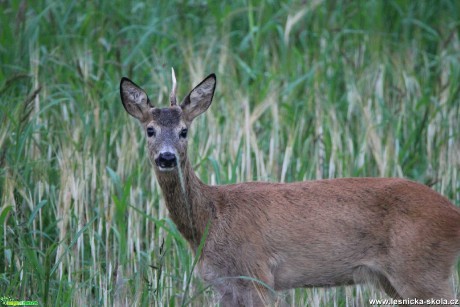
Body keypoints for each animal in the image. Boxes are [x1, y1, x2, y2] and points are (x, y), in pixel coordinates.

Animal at [119, 71, 460, 306]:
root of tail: (453, 213)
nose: (167, 157)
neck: (210, 219)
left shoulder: (258, 276)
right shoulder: (225, 286)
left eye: (184, 131)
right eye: (150, 130)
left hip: (423, 270)